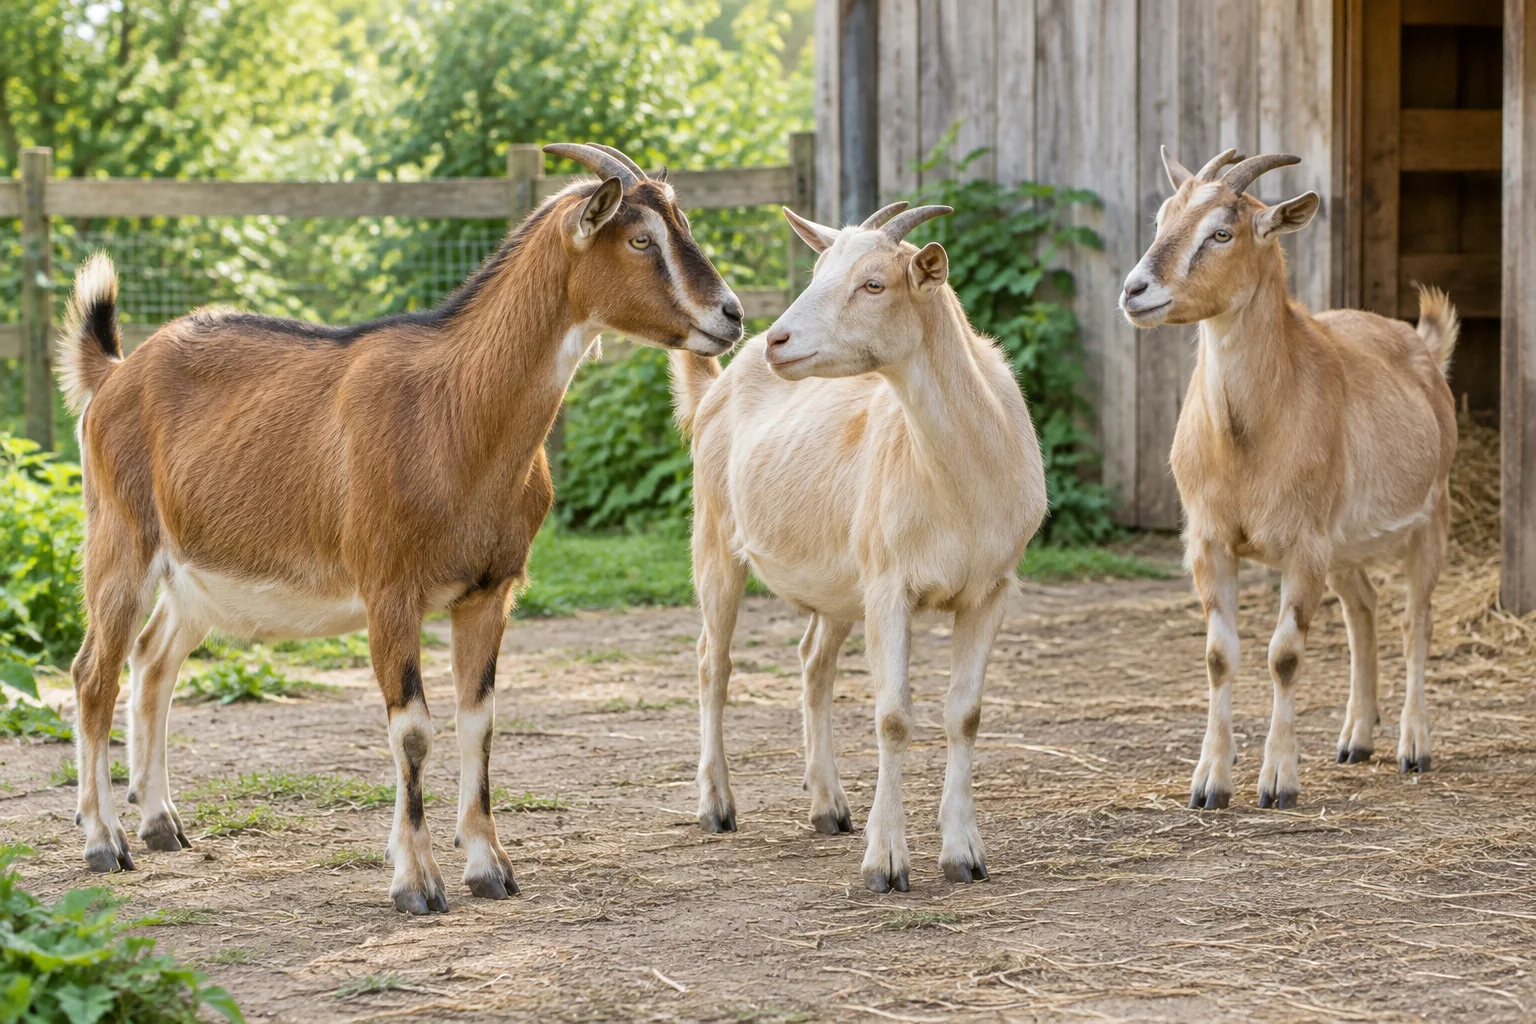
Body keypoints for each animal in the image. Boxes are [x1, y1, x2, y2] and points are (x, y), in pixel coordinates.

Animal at [56, 143, 744, 914]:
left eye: (681, 223)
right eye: (640, 240)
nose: (731, 314)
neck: (455, 410)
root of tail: (114, 375)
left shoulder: (490, 591)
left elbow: (479, 721)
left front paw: (489, 867)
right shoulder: (389, 589)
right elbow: (412, 731)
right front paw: (417, 881)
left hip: (195, 578)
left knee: (152, 663)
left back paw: (160, 824)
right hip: (120, 544)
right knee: (93, 675)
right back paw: (103, 841)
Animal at [671, 202, 1046, 892]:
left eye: (874, 283)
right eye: (818, 272)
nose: (777, 340)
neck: (963, 481)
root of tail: (716, 386)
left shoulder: (991, 590)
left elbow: (966, 714)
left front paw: (964, 855)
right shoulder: (888, 583)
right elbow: (893, 716)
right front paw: (887, 863)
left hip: (838, 585)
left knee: (813, 661)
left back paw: (828, 806)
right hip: (713, 536)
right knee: (714, 661)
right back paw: (717, 806)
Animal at [1119, 148, 1458, 810]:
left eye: (1221, 233)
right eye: (1162, 219)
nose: (1134, 290)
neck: (1247, 441)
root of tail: (1425, 349)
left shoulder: (1304, 546)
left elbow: (1284, 656)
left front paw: (1277, 780)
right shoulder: (1210, 541)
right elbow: (1219, 655)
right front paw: (1209, 783)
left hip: (1430, 516)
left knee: (1416, 619)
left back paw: (1414, 745)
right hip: (1344, 546)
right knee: (1363, 609)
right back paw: (1356, 738)